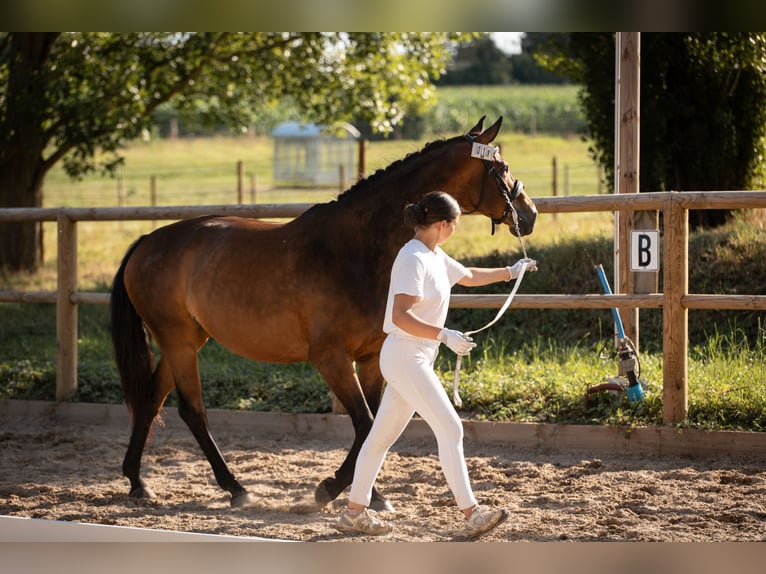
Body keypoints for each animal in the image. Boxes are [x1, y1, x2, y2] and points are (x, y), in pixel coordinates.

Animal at [111, 117, 536, 512]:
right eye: (500, 167)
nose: (528, 214)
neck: (358, 250)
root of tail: (146, 242)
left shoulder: (369, 359)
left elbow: (373, 427)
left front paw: (369, 496)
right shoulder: (330, 358)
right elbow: (365, 424)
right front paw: (331, 489)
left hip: (185, 341)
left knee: (151, 400)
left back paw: (137, 481)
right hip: (180, 342)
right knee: (191, 410)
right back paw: (235, 488)